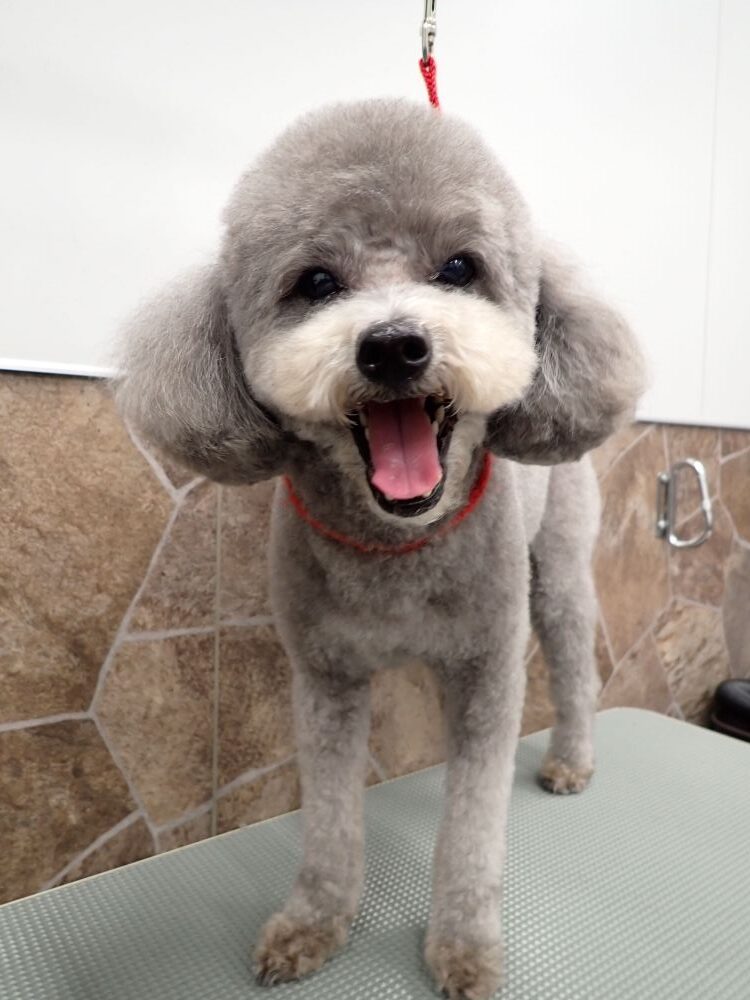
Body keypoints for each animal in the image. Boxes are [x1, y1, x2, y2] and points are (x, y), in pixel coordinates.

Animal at [116, 99, 644, 999]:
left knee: (576, 669)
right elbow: (330, 821)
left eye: (460, 268)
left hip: (558, 573)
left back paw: (572, 762)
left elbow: (472, 828)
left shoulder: (487, 670)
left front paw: (463, 944)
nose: (394, 344)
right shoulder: (325, 679)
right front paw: (314, 923)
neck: (397, 547)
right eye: (316, 283)